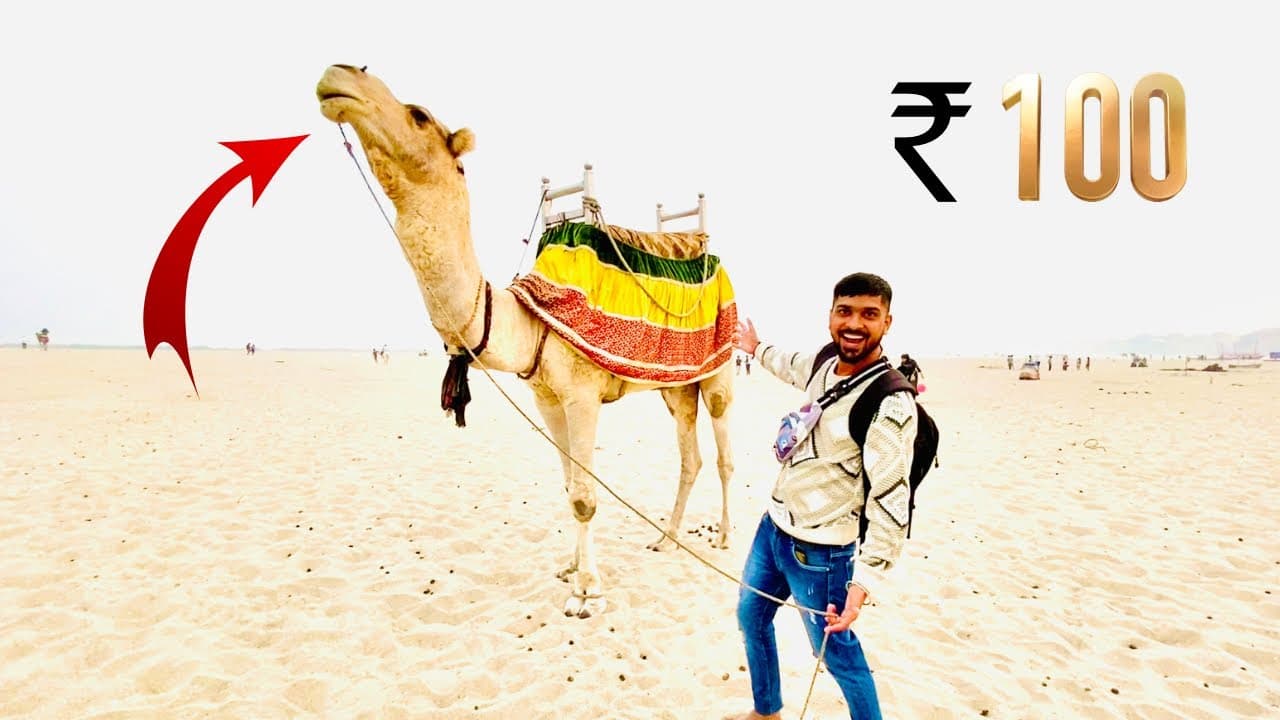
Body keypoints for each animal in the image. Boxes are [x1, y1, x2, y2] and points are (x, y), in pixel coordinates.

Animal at [316, 64, 736, 618]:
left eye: (419, 115)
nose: (338, 77)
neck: (530, 318)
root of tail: (699, 243)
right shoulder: (547, 399)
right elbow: (570, 485)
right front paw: (571, 570)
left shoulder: (582, 395)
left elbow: (585, 495)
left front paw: (589, 591)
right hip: (676, 386)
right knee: (690, 455)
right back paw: (666, 539)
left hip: (720, 368)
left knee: (725, 453)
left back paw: (725, 537)